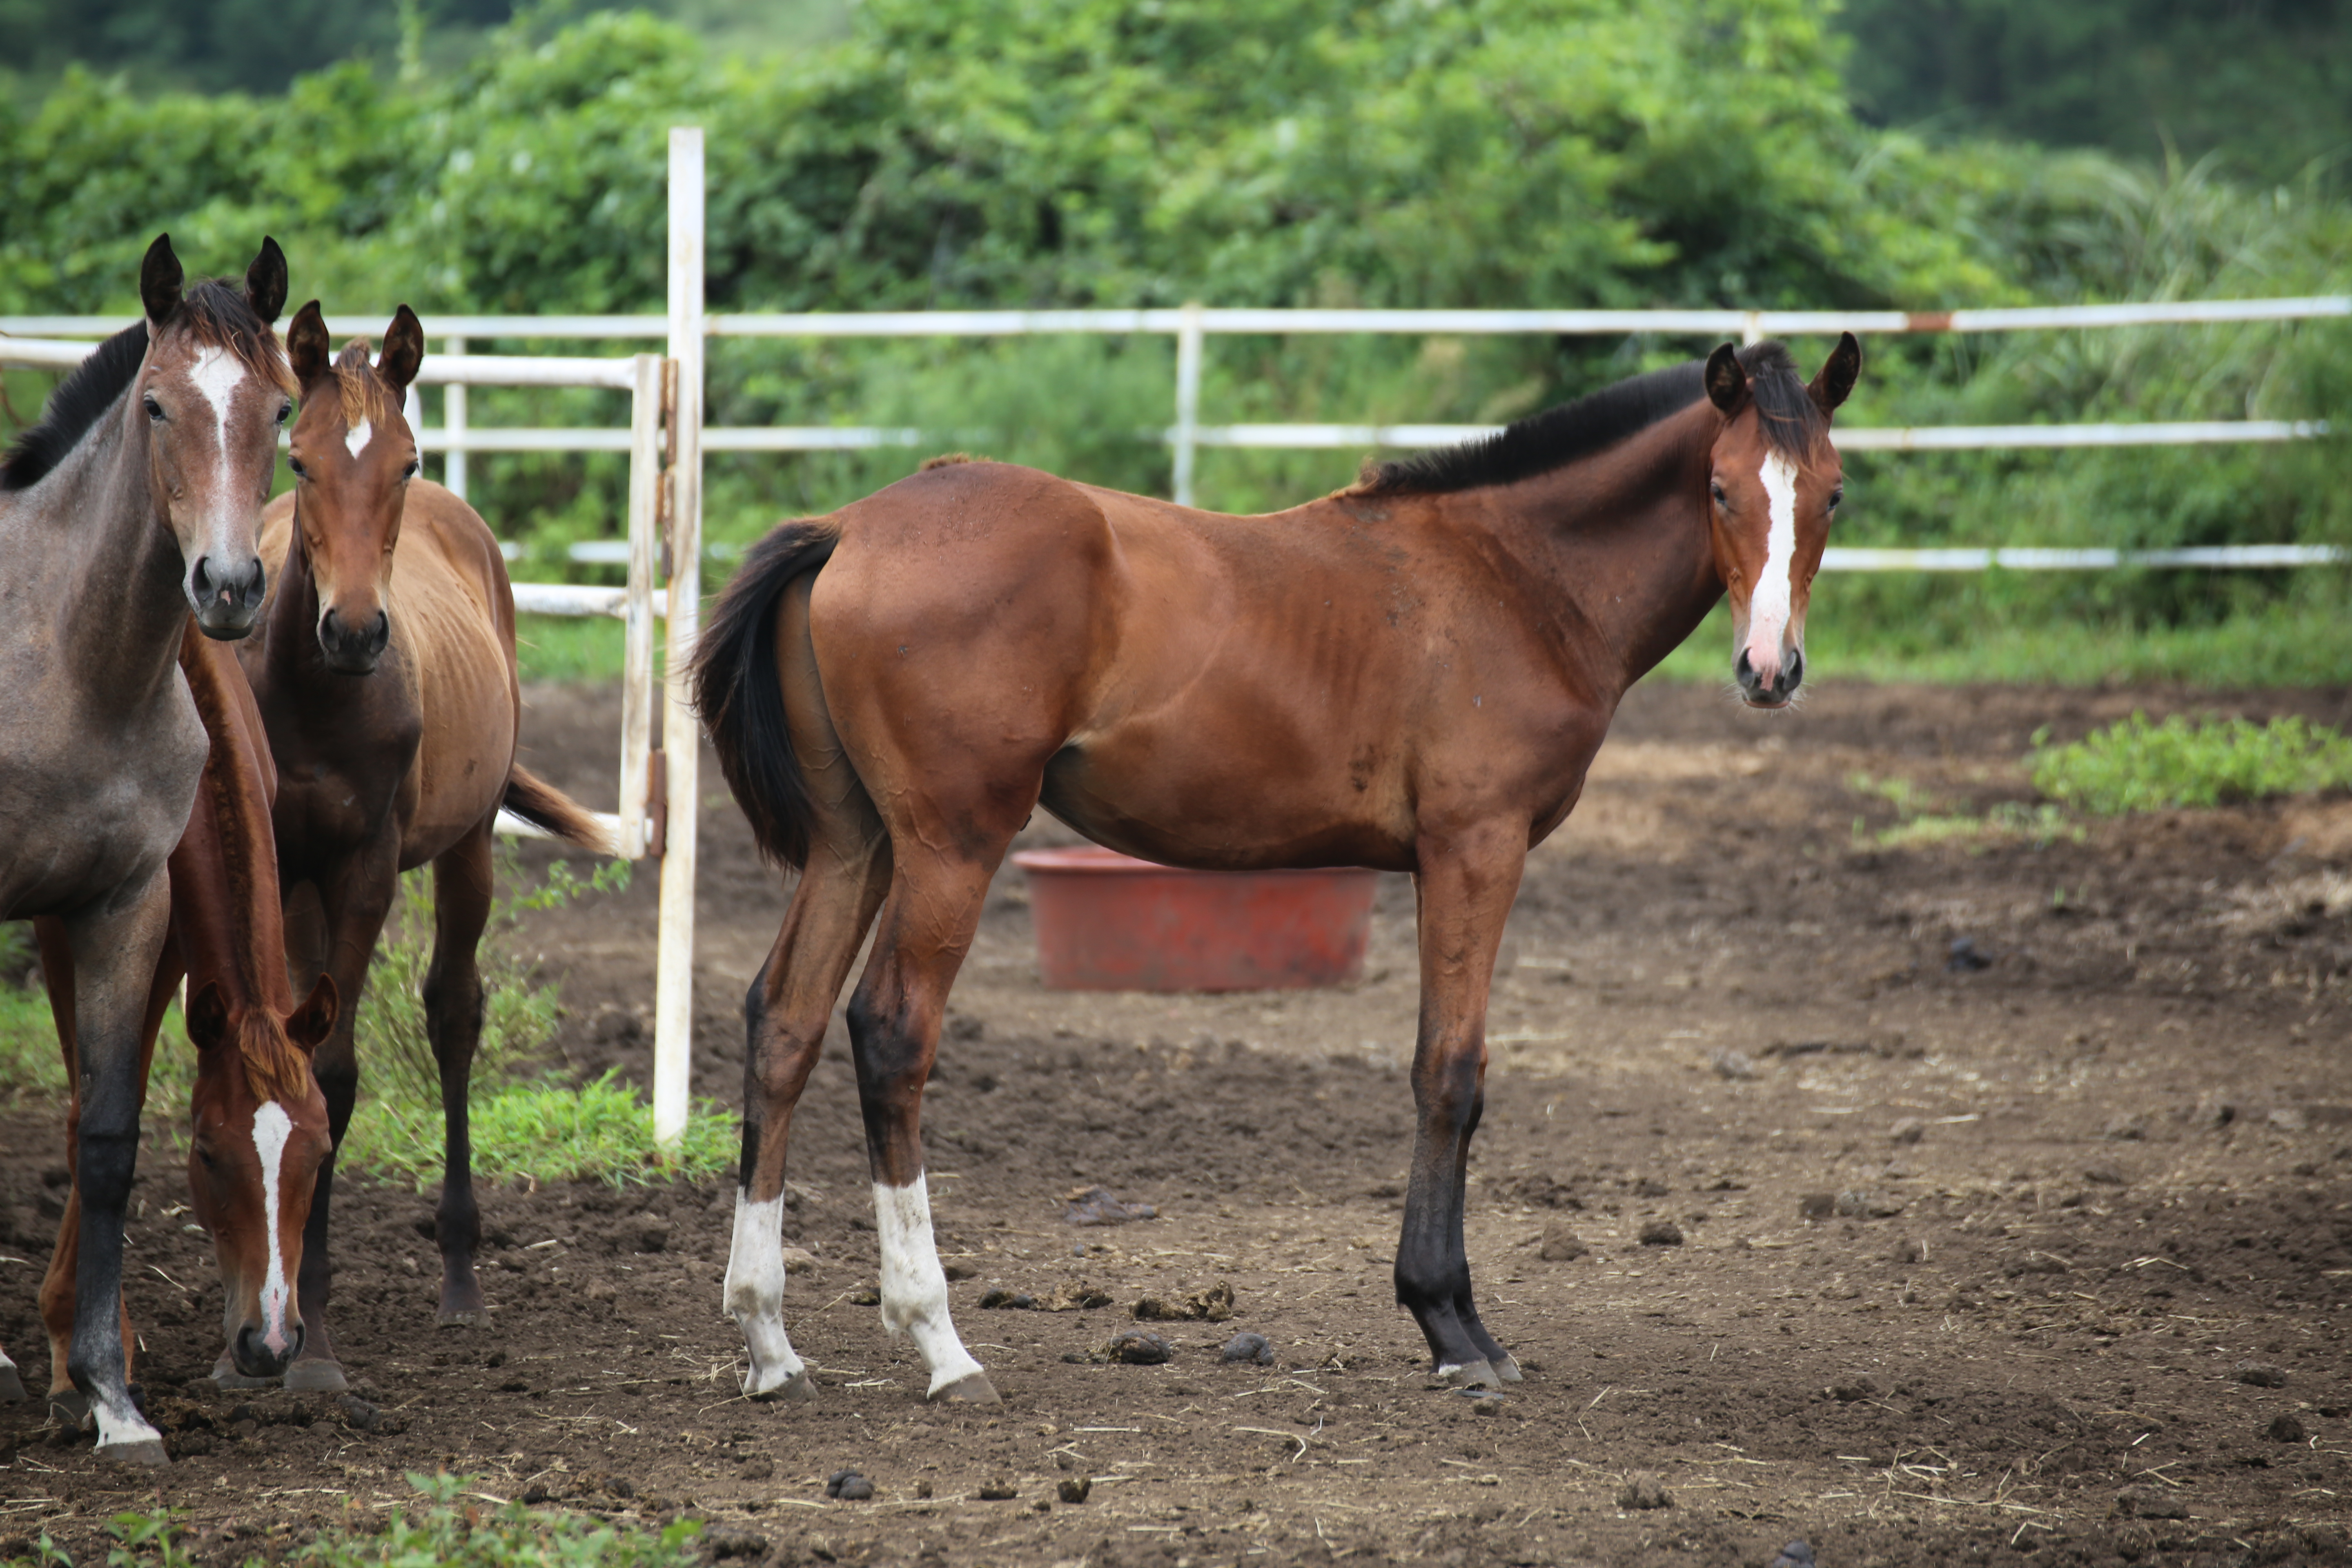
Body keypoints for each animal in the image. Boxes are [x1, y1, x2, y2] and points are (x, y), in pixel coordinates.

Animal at [33, 625, 341, 1410]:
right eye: (206, 1153)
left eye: (322, 1152)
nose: (270, 1342)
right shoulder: (70, 922)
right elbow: (84, 1113)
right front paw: (68, 1348)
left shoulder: (167, 942)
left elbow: (124, 1100)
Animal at [234, 301, 607, 1392]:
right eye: (300, 459)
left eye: (403, 462)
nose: (357, 631)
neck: (314, 696)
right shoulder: (281, 869)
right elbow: (284, 1054)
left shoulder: (364, 871)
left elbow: (337, 1075)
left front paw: (313, 1340)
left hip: (470, 845)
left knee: (452, 1011)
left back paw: (460, 1275)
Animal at [686, 334, 1862, 1401]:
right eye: (1719, 489)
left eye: (1834, 496)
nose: (1770, 670)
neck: (1515, 577)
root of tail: (847, 528)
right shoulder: (1473, 849)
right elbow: (1451, 1073)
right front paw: (1453, 1327)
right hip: (951, 844)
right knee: (892, 1033)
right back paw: (939, 1344)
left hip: (856, 846)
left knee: (784, 1024)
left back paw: (769, 1343)